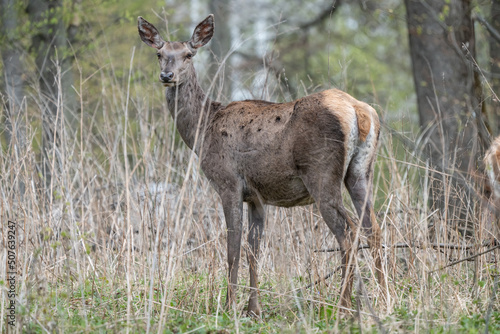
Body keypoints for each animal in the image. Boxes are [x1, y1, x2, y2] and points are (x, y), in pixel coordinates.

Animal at [139, 13, 384, 316]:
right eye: (159, 54)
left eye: (188, 54)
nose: (167, 76)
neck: (203, 130)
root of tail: (358, 110)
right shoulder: (256, 196)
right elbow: (254, 249)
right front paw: (253, 308)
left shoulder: (228, 182)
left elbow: (233, 246)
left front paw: (229, 305)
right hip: (361, 171)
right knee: (373, 228)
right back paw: (385, 297)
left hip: (321, 172)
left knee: (348, 231)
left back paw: (343, 305)